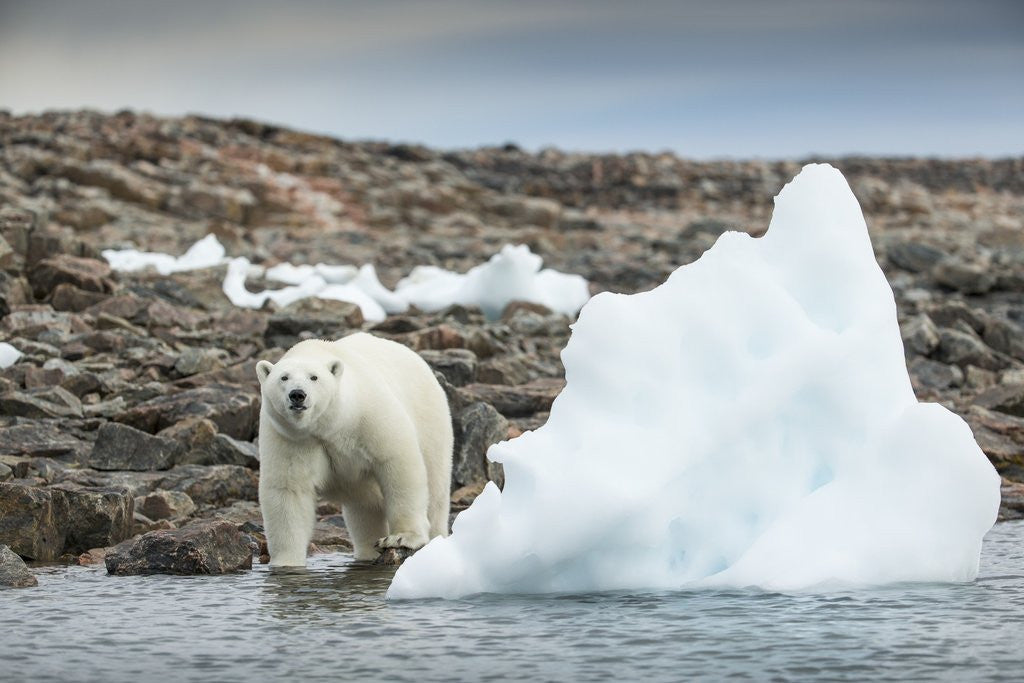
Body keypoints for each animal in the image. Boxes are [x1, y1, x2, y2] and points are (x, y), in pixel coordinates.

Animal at [255, 332, 454, 566]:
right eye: (283, 378)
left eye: (314, 377)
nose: (297, 395)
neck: (330, 424)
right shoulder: (291, 437)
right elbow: (288, 489)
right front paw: (285, 562)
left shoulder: (367, 414)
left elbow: (397, 462)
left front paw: (401, 537)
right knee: (365, 507)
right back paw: (368, 550)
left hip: (430, 420)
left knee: (435, 486)